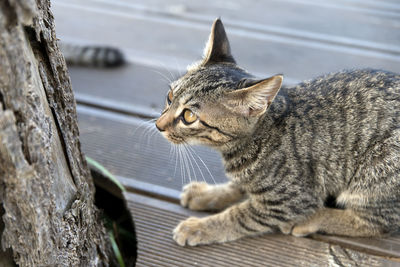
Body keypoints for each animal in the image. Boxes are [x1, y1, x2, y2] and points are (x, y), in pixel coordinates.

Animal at [156, 18, 400, 248]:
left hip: (374, 173)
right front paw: (209, 194)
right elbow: (238, 185)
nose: (159, 125)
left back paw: (310, 220)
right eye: (170, 96)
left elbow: (239, 215)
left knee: (378, 223)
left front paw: (200, 227)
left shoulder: (291, 200)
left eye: (189, 116)